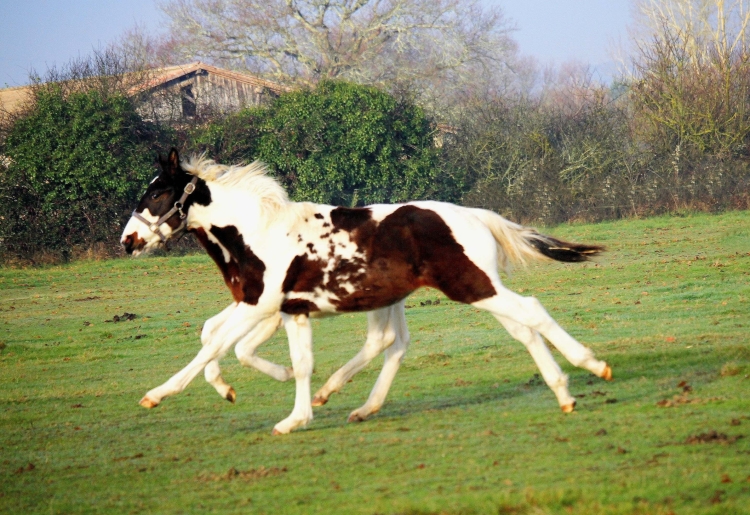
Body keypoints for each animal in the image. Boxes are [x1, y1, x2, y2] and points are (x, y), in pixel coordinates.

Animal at [120, 149, 612, 436]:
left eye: (158, 194)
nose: (128, 241)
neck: (255, 233)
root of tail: (477, 215)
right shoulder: (287, 310)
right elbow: (287, 360)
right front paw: (293, 413)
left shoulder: (260, 305)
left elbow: (213, 347)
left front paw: (157, 394)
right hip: (471, 289)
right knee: (511, 330)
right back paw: (564, 393)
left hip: (473, 286)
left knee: (530, 312)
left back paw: (589, 369)